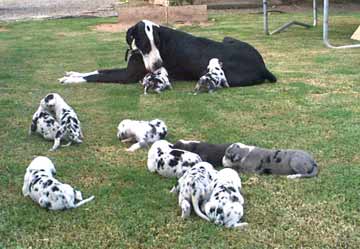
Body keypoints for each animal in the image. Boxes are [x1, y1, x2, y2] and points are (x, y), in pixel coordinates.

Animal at [59, 19, 276, 86]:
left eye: (158, 43)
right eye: (145, 44)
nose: (158, 66)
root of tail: (263, 66)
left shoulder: (128, 76)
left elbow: (95, 76)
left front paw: (70, 80)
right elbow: (99, 70)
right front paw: (72, 74)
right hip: (228, 38)